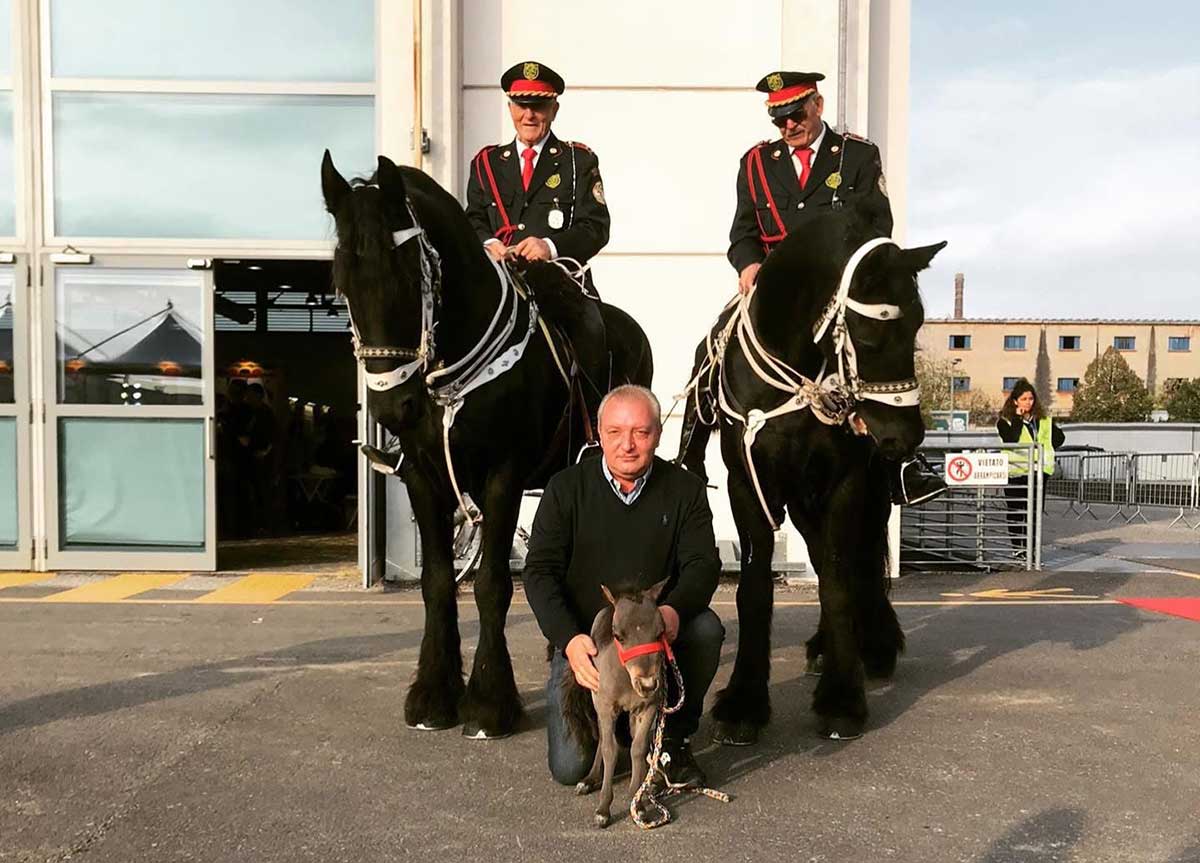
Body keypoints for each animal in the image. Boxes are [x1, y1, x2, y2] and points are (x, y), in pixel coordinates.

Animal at [324, 151, 652, 739]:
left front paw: (488, 703)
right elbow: (436, 582)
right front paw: (433, 694)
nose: (393, 407)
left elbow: (493, 583)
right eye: (342, 281)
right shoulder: (423, 475)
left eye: (406, 273)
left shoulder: (503, 474)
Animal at [681, 204, 940, 744]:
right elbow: (756, 586)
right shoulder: (748, 487)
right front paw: (744, 702)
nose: (904, 437)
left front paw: (843, 699)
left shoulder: (846, 483)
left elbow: (840, 578)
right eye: (869, 334)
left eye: (918, 325)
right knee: (821, 557)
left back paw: (874, 643)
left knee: (854, 563)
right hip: (801, 500)